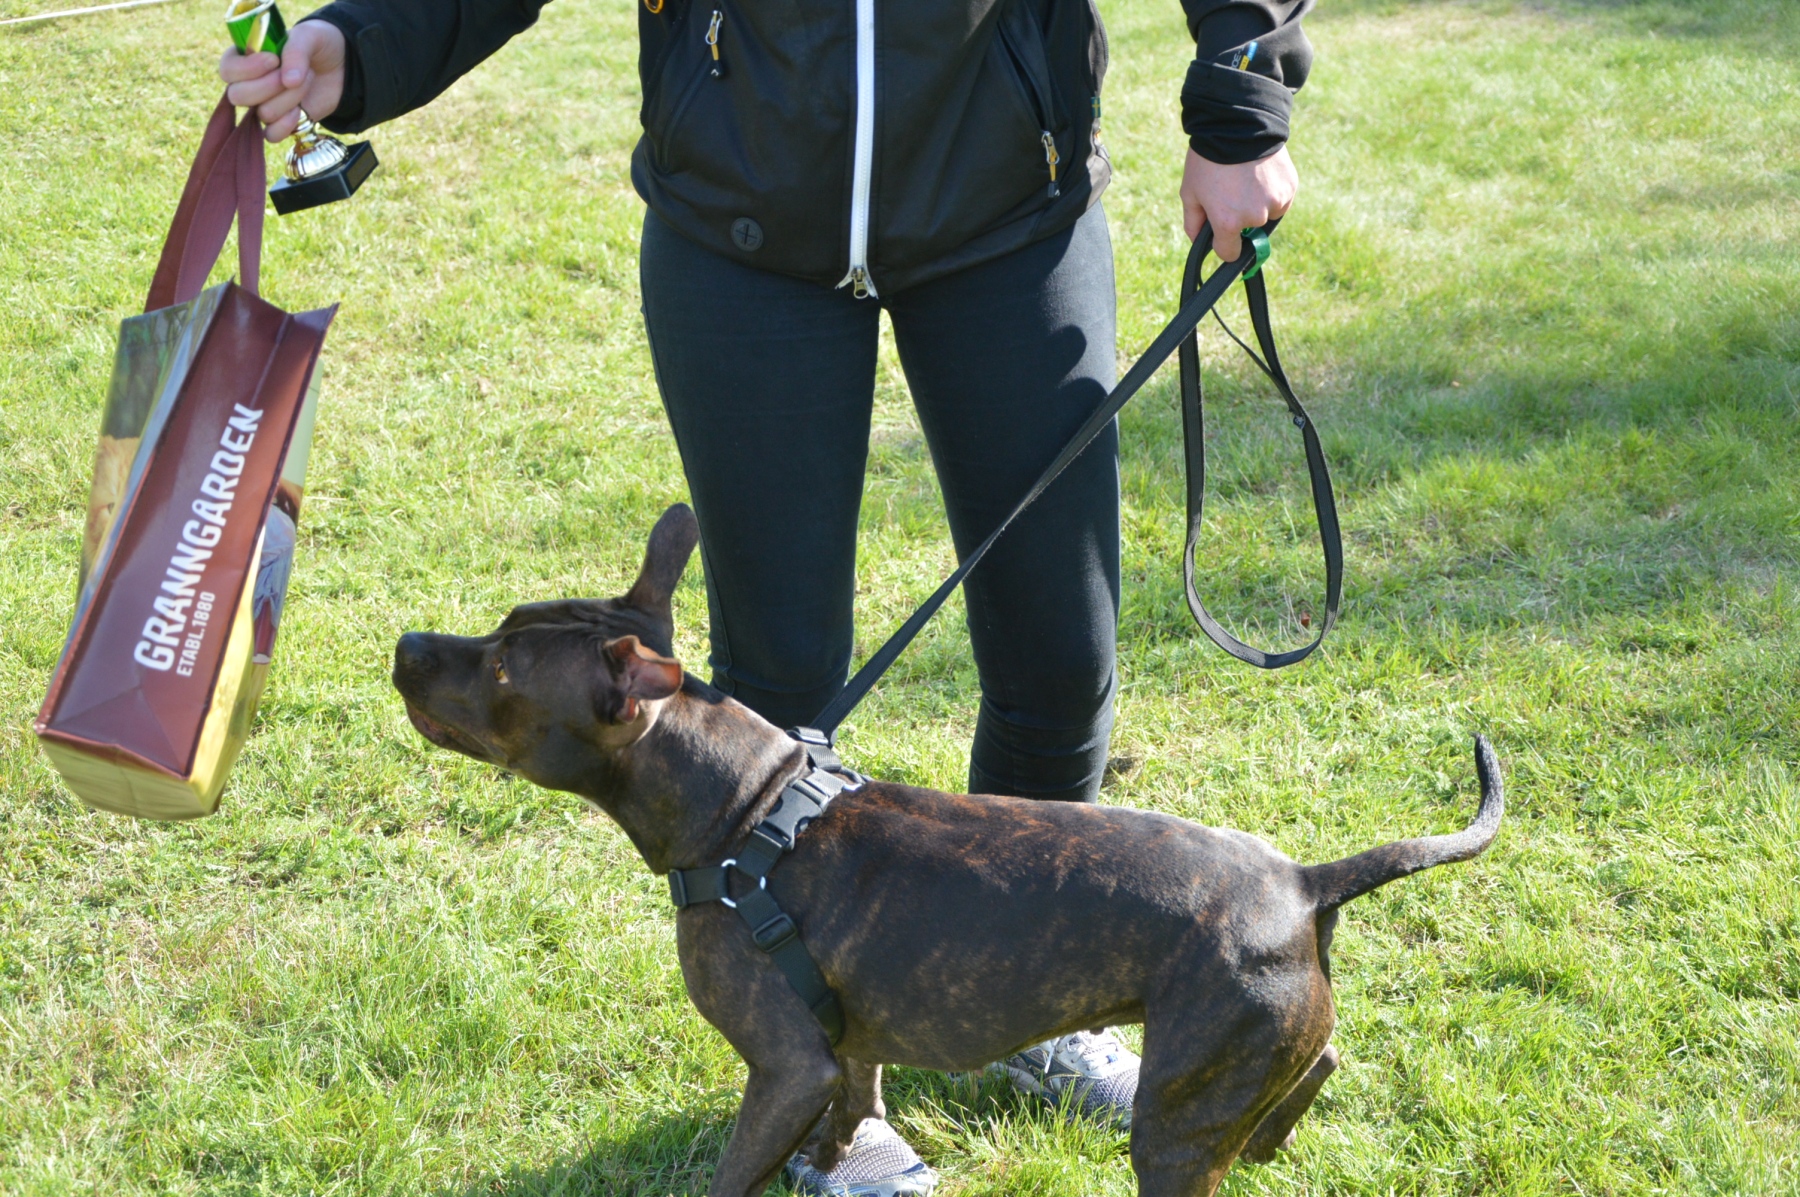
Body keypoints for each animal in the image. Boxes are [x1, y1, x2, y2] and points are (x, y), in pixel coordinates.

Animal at [391, 503, 1503, 1197]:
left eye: (501, 667)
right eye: (500, 628)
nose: (405, 644)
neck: (748, 813)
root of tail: (1305, 884)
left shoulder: (782, 1066)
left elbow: (735, 1172)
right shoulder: (841, 1050)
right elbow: (850, 1107)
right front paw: (844, 1157)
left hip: (1178, 1120)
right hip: (1251, 1052)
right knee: (1321, 1061)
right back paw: (1275, 1129)